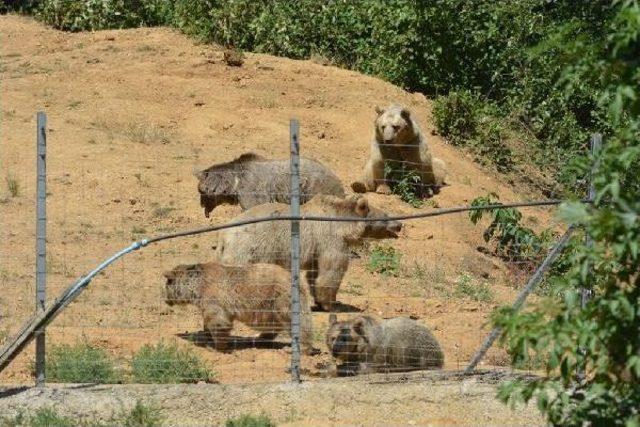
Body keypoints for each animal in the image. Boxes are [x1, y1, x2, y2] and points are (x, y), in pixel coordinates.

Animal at [165, 264, 316, 354]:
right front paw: (206, 336)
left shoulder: (214, 297)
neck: (198, 286)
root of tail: (298, 280)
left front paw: (218, 347)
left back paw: (294, 348)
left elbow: (217, 320)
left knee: (297, 323)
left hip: (281, 300)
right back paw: (257, 338)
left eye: (166, 284)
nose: (166, 300)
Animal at [215, 195, 400, 310]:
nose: (399, 224)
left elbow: (314, 273)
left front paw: (319, 300)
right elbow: (331, 271)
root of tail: (224, 236)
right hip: (250, 250)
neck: (344, 226)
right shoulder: (330, 240)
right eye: (386, 215)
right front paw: (330, 303)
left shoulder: (317, 248)